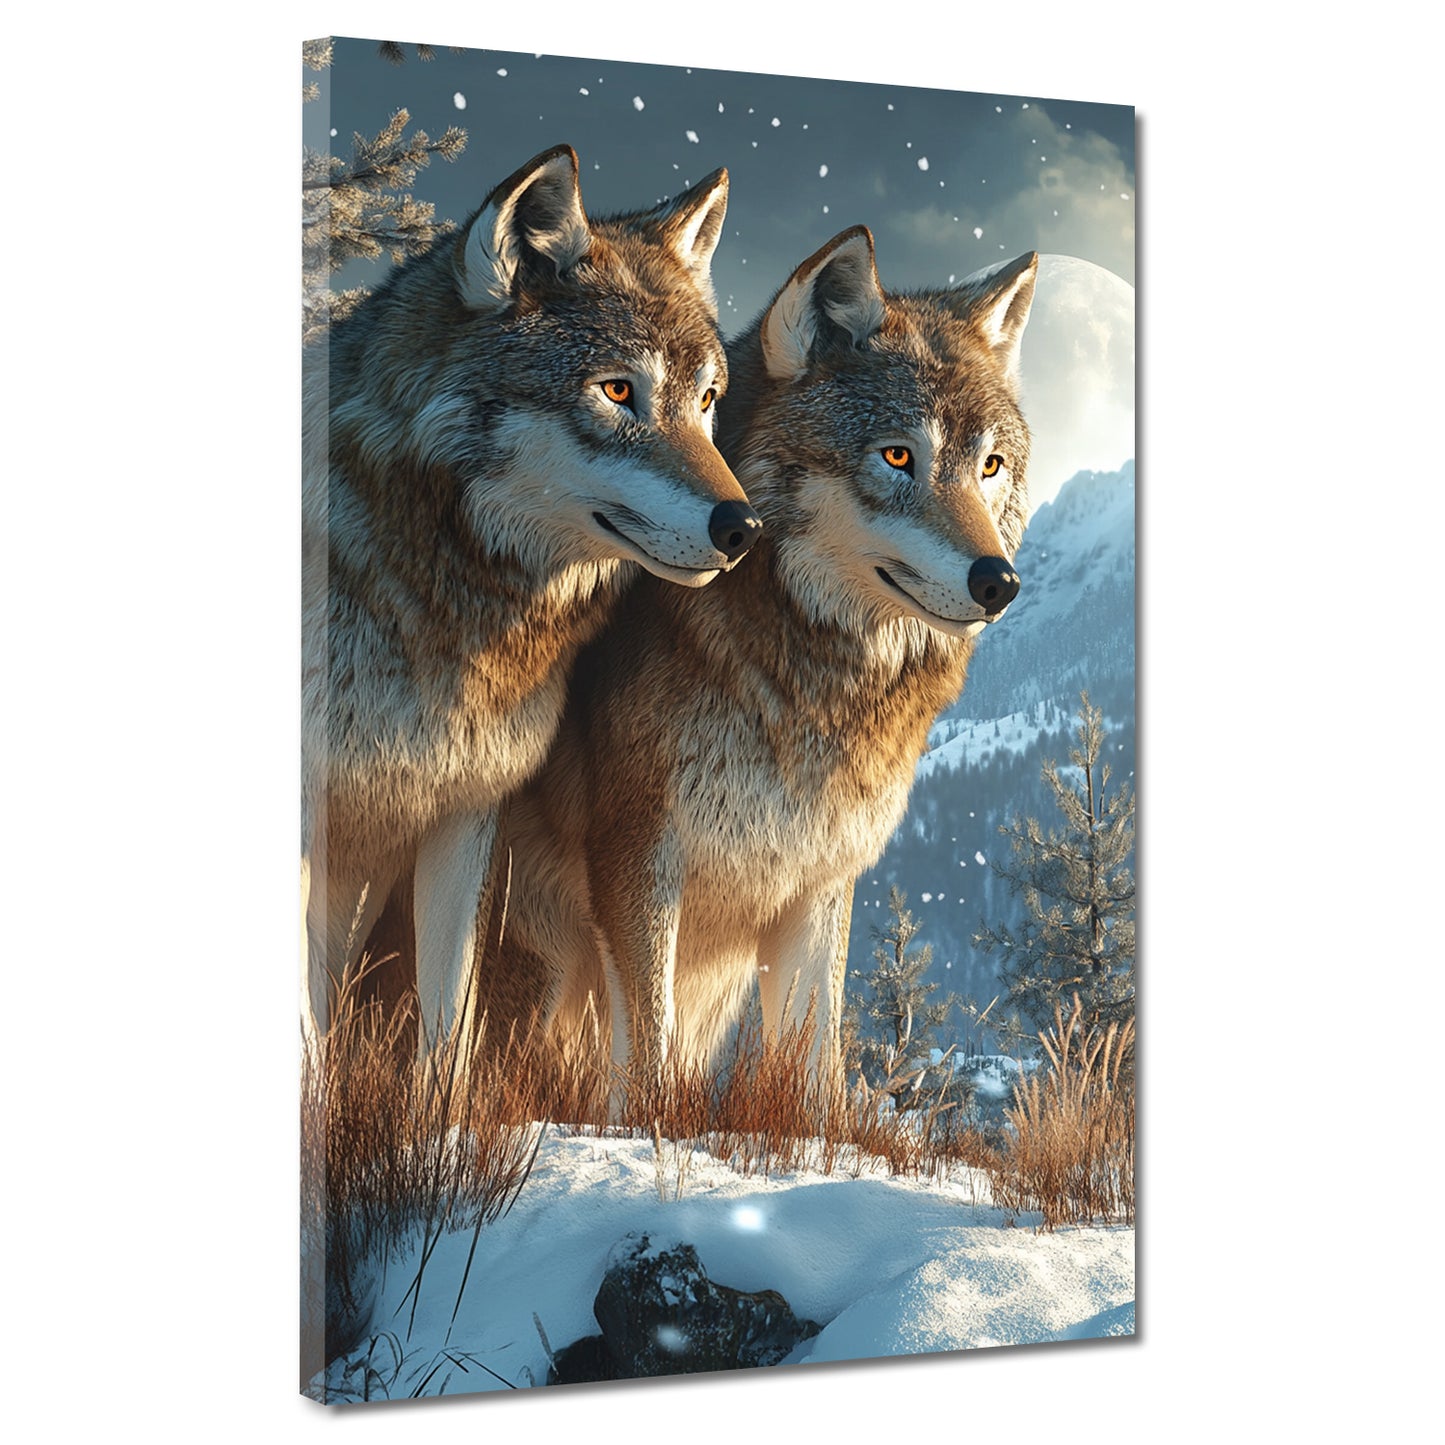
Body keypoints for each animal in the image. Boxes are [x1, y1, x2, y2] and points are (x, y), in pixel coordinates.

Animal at [485, 227, 1038, 1086]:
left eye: (989, 466)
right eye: (897, 457)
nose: (998, 582)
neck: (805, 684)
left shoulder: (817, 885)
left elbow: (817, 1072)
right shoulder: (636, 858)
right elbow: (646, 1062)